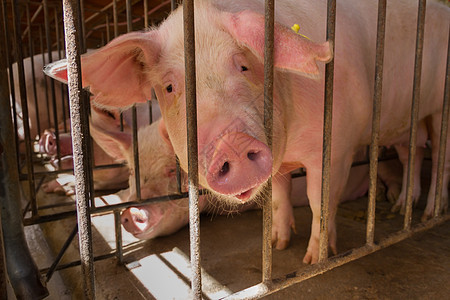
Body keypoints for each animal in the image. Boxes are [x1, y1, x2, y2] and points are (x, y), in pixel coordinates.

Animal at [47, 0, 448, 264]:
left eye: (243, 64)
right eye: (170, 87)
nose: (233, 144)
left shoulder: (338, 146)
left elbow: (320, 201)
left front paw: (314, 260)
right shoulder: (281, 162)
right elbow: (279, 196)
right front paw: (277, 244)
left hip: (441, 110)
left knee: (439, 161)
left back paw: (428, 213)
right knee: (413, 151)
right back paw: (402, 206)